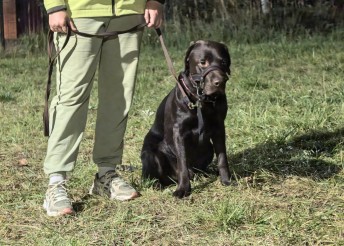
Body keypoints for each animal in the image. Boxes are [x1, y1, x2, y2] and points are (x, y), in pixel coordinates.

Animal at [140, 40, 231, 198]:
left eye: (224, 62)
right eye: (203, 62)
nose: (220, 81)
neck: (201, 101)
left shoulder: (219, 128)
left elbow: (222, 157)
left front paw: (226, 180)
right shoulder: (179, 132)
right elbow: (182, 162)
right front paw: (183, 189)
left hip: (208, 148)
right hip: (149, 153)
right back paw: (157, 184)